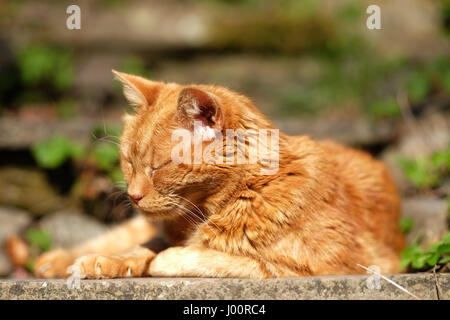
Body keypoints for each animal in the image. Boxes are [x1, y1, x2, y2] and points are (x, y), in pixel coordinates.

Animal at [34, 70, 404, 280]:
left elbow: (211, 258)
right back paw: (54, 260)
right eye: (128, 161)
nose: (133, 195)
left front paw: (162, 260)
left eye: (158, 166)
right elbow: (139, 249)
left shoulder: (329, 265)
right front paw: (106, 262)